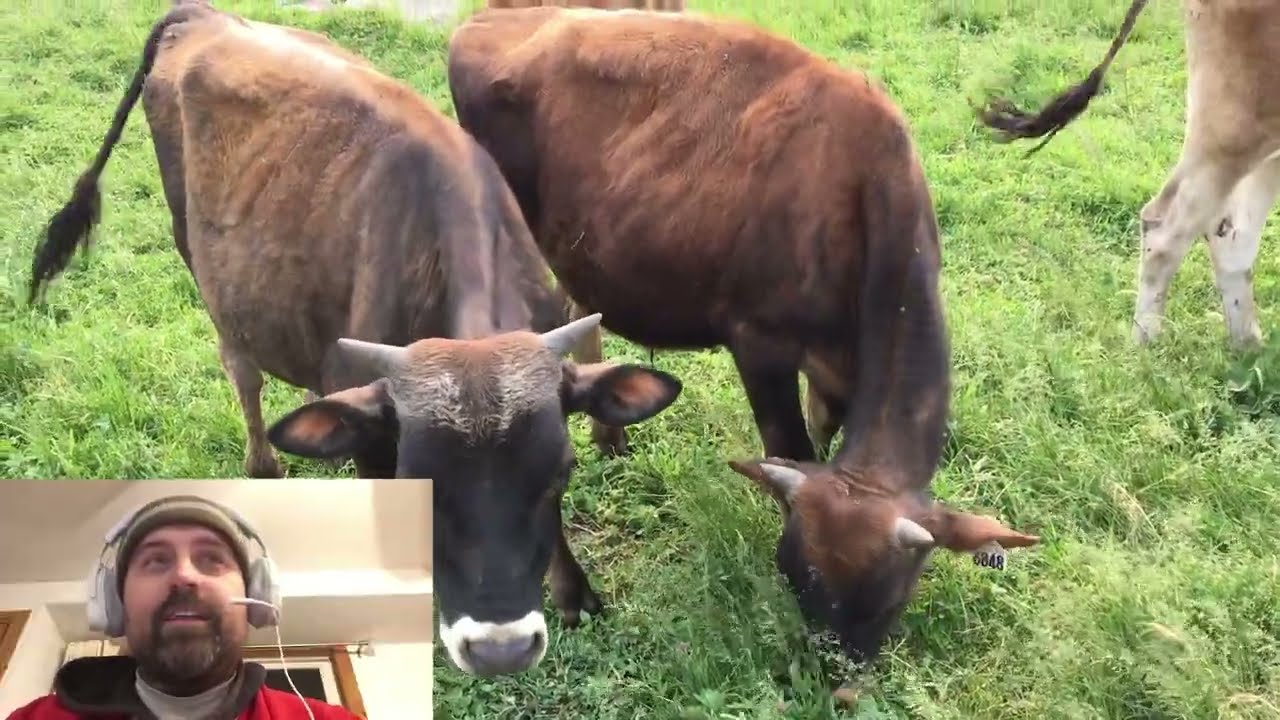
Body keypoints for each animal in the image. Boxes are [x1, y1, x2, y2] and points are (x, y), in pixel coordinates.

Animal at [27, 1, 683, 678]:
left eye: (561, 470)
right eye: (420, 482)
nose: (500, 649)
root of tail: (203, 16)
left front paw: (574, 591)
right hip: (199, 258)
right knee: (241, 367)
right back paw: (262, 465)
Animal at [445, 6, 1042, 668]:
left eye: (890, 601)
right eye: (794, 577)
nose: (832, 678)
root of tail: (486, 20)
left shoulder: (836, 368)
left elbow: (821, 433)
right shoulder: (759, 343)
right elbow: (790, 444)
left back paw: (609, 437)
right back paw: (573, 592)